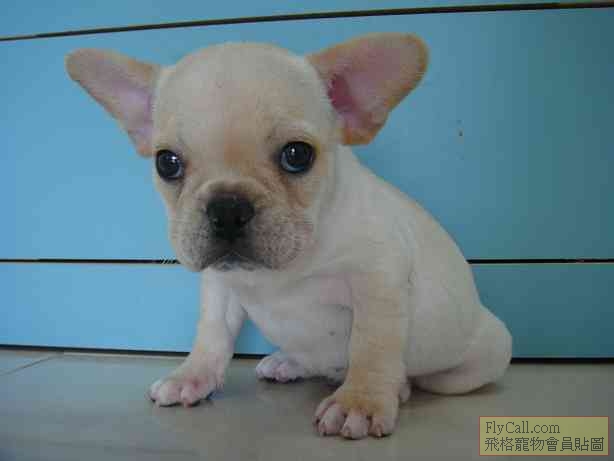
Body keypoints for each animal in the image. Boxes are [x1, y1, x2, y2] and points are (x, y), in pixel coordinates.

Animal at [66, 33, 512, 439]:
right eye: (167, 163)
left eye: (297, 155)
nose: (227, 208)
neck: (286, 265)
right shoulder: (220, 287)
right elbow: (211, 334)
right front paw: (192, 375)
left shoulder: (378, 280)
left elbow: (371, 344)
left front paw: (361, 400)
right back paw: (288, 362)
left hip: (477, 358)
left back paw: (395, 387)